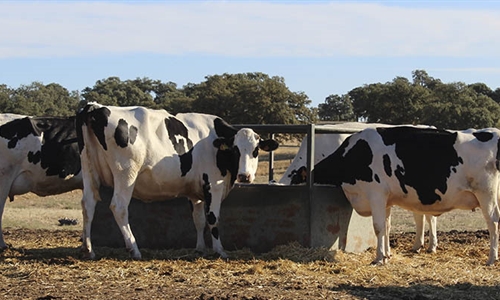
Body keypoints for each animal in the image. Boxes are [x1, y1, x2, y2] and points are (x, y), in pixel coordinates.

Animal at [75, 102, 278, 258]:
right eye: (235, 150)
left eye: (256, 150)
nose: (245, 176)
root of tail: (95, 107)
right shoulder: (213, 185)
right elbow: (213, 218)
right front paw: (220, 251)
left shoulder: (195, 193)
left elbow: (198, 220)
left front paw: (200, 249)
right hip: (126, 173)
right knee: (119, 207)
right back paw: (134, 249)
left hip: (88, 169)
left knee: (88, 204)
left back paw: (88, 250)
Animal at [310, 126, 498, 264]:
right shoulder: (386, 200)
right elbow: (387, 227)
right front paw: (387, 254)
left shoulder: (376, 194)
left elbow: (378, 227)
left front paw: (379, 258)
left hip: (486, 194)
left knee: (493, 222)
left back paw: (492, 258)